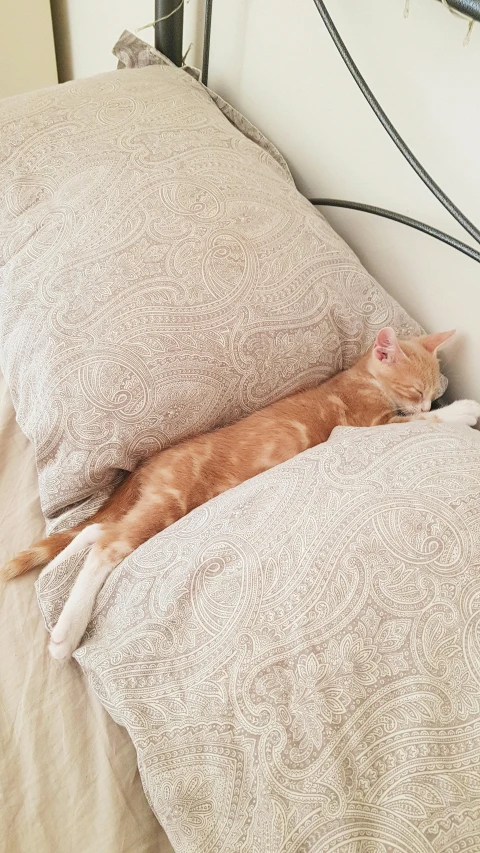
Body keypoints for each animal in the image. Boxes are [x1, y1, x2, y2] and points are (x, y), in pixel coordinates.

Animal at [3, 326, 480, 660]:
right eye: (416, 391)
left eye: (432, 391)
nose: (427, 402)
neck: (361, 378)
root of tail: (146, 464)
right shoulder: (368, 424)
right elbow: (420, 425)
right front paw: (464, 411)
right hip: (171, 498)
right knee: (107, 544)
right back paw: (67, 631)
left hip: (158, 503)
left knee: (94, 531)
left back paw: (53, 577)